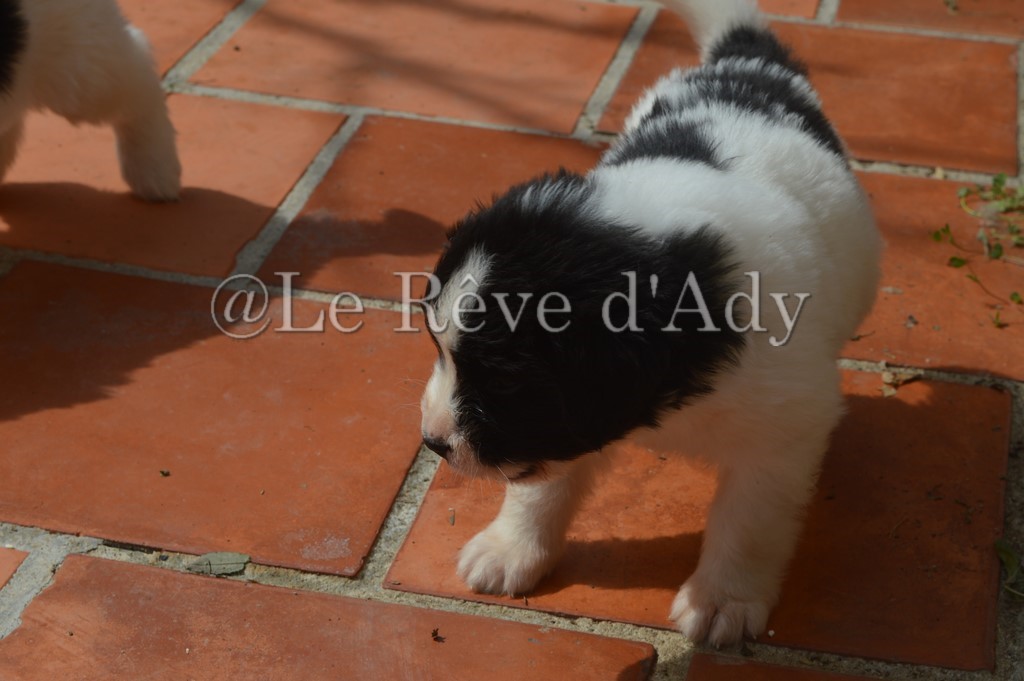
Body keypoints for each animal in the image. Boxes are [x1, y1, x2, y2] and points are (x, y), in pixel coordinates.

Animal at [419, 0, 880, 646]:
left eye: (504, 382)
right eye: (438, 349)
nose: (432, 443)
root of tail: (746, 59)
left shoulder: (780, 435)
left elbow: (748, 523)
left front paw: (723, 599)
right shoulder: (569, 423)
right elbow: (542, 487)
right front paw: (512, 549)